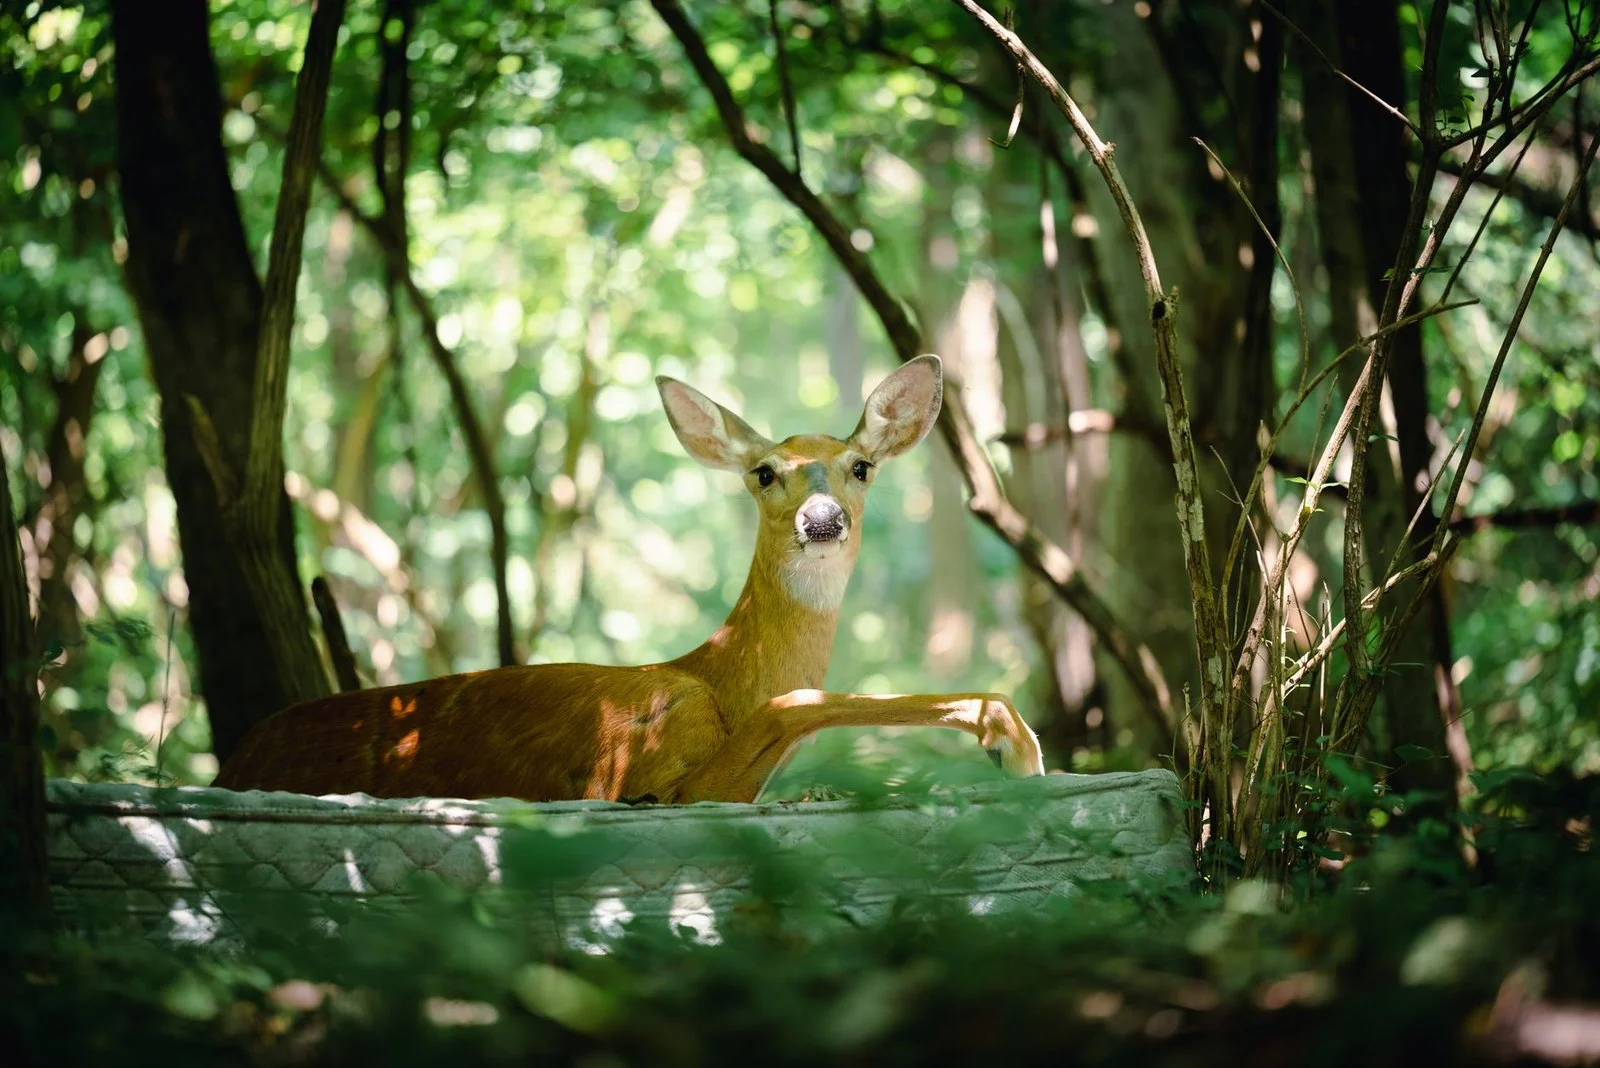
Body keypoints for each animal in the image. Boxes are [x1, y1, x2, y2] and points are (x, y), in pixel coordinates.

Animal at [214, 354, 1045, 804]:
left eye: (861, 466)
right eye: (764, 471)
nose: (821, 520)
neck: (712, 677)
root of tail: (234, 759)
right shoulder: (643, 775)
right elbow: (792, 703)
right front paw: (1010, 737)